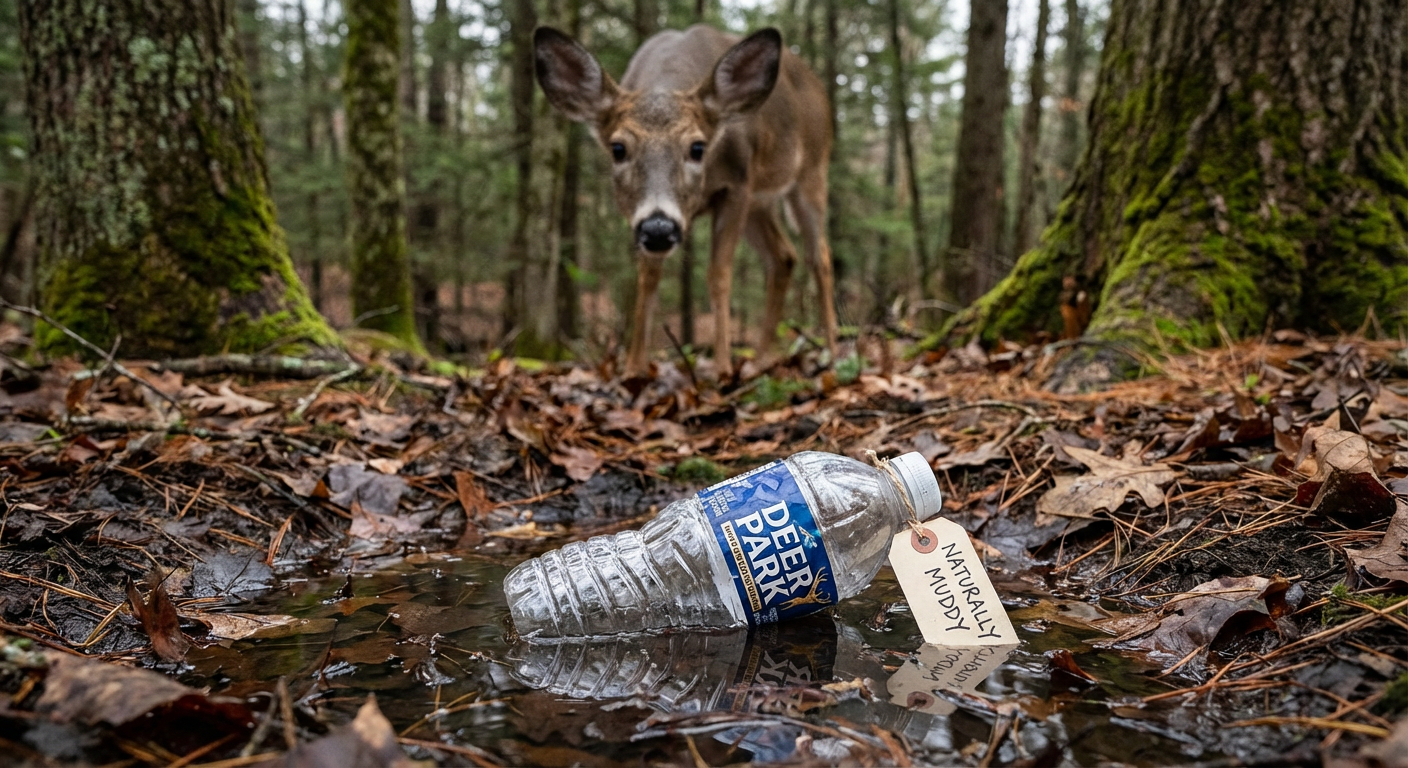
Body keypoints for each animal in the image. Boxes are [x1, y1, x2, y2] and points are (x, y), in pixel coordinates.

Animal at [533, 24, 838, 378]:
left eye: (697, 147)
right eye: (618, 148)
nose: (660, 229)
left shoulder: (738, 185)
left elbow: (718, 274)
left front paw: (722, 369)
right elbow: (648, 277)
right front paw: (633, 370)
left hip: (812, 170)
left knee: (820, 257)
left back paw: (833, 352)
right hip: (759, 205)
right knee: (784, 256)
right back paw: (761, 361)